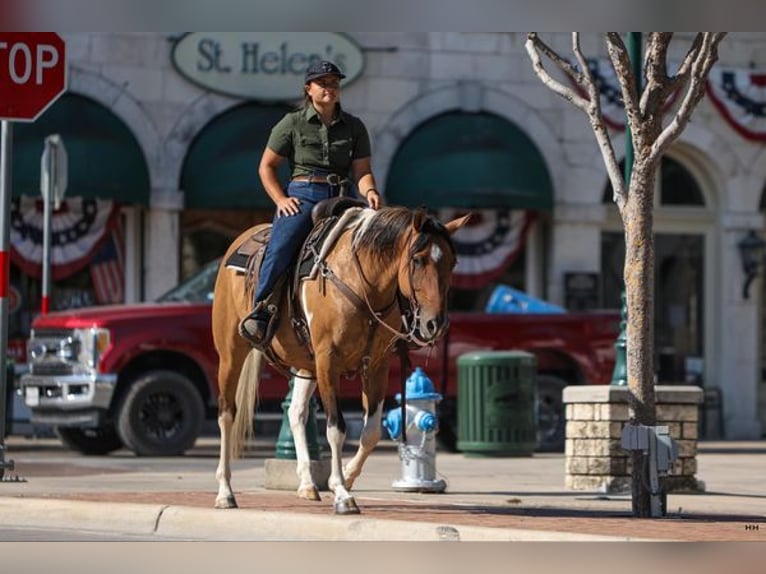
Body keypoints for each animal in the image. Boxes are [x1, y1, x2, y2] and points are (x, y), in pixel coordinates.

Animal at [211, 204, 470, 514]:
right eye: (418, 260)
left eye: (453, 263)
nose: (436, 324)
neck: (361, 284)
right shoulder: (328, 362)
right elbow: (336, 429)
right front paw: (342, 494)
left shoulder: (376, 366)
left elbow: (371, 433)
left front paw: (346, 476)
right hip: (231, 353)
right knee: (227, 414)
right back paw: (225, 492)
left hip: (306, 364)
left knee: (296, 412)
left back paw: (307, 485)